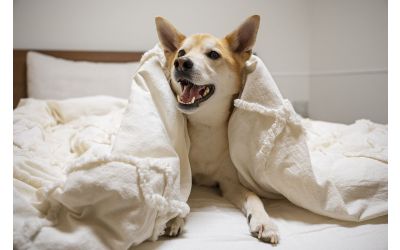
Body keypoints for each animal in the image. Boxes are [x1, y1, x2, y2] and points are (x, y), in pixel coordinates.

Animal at [155, 14, 280, 243]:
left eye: (213, 54)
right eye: (181, 52)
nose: (181, 63)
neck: (206, 125)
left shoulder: (229, 183)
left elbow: (254, 197)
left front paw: (264, 222)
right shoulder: (189, 175)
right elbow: (183, 193)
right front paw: (175, 216)